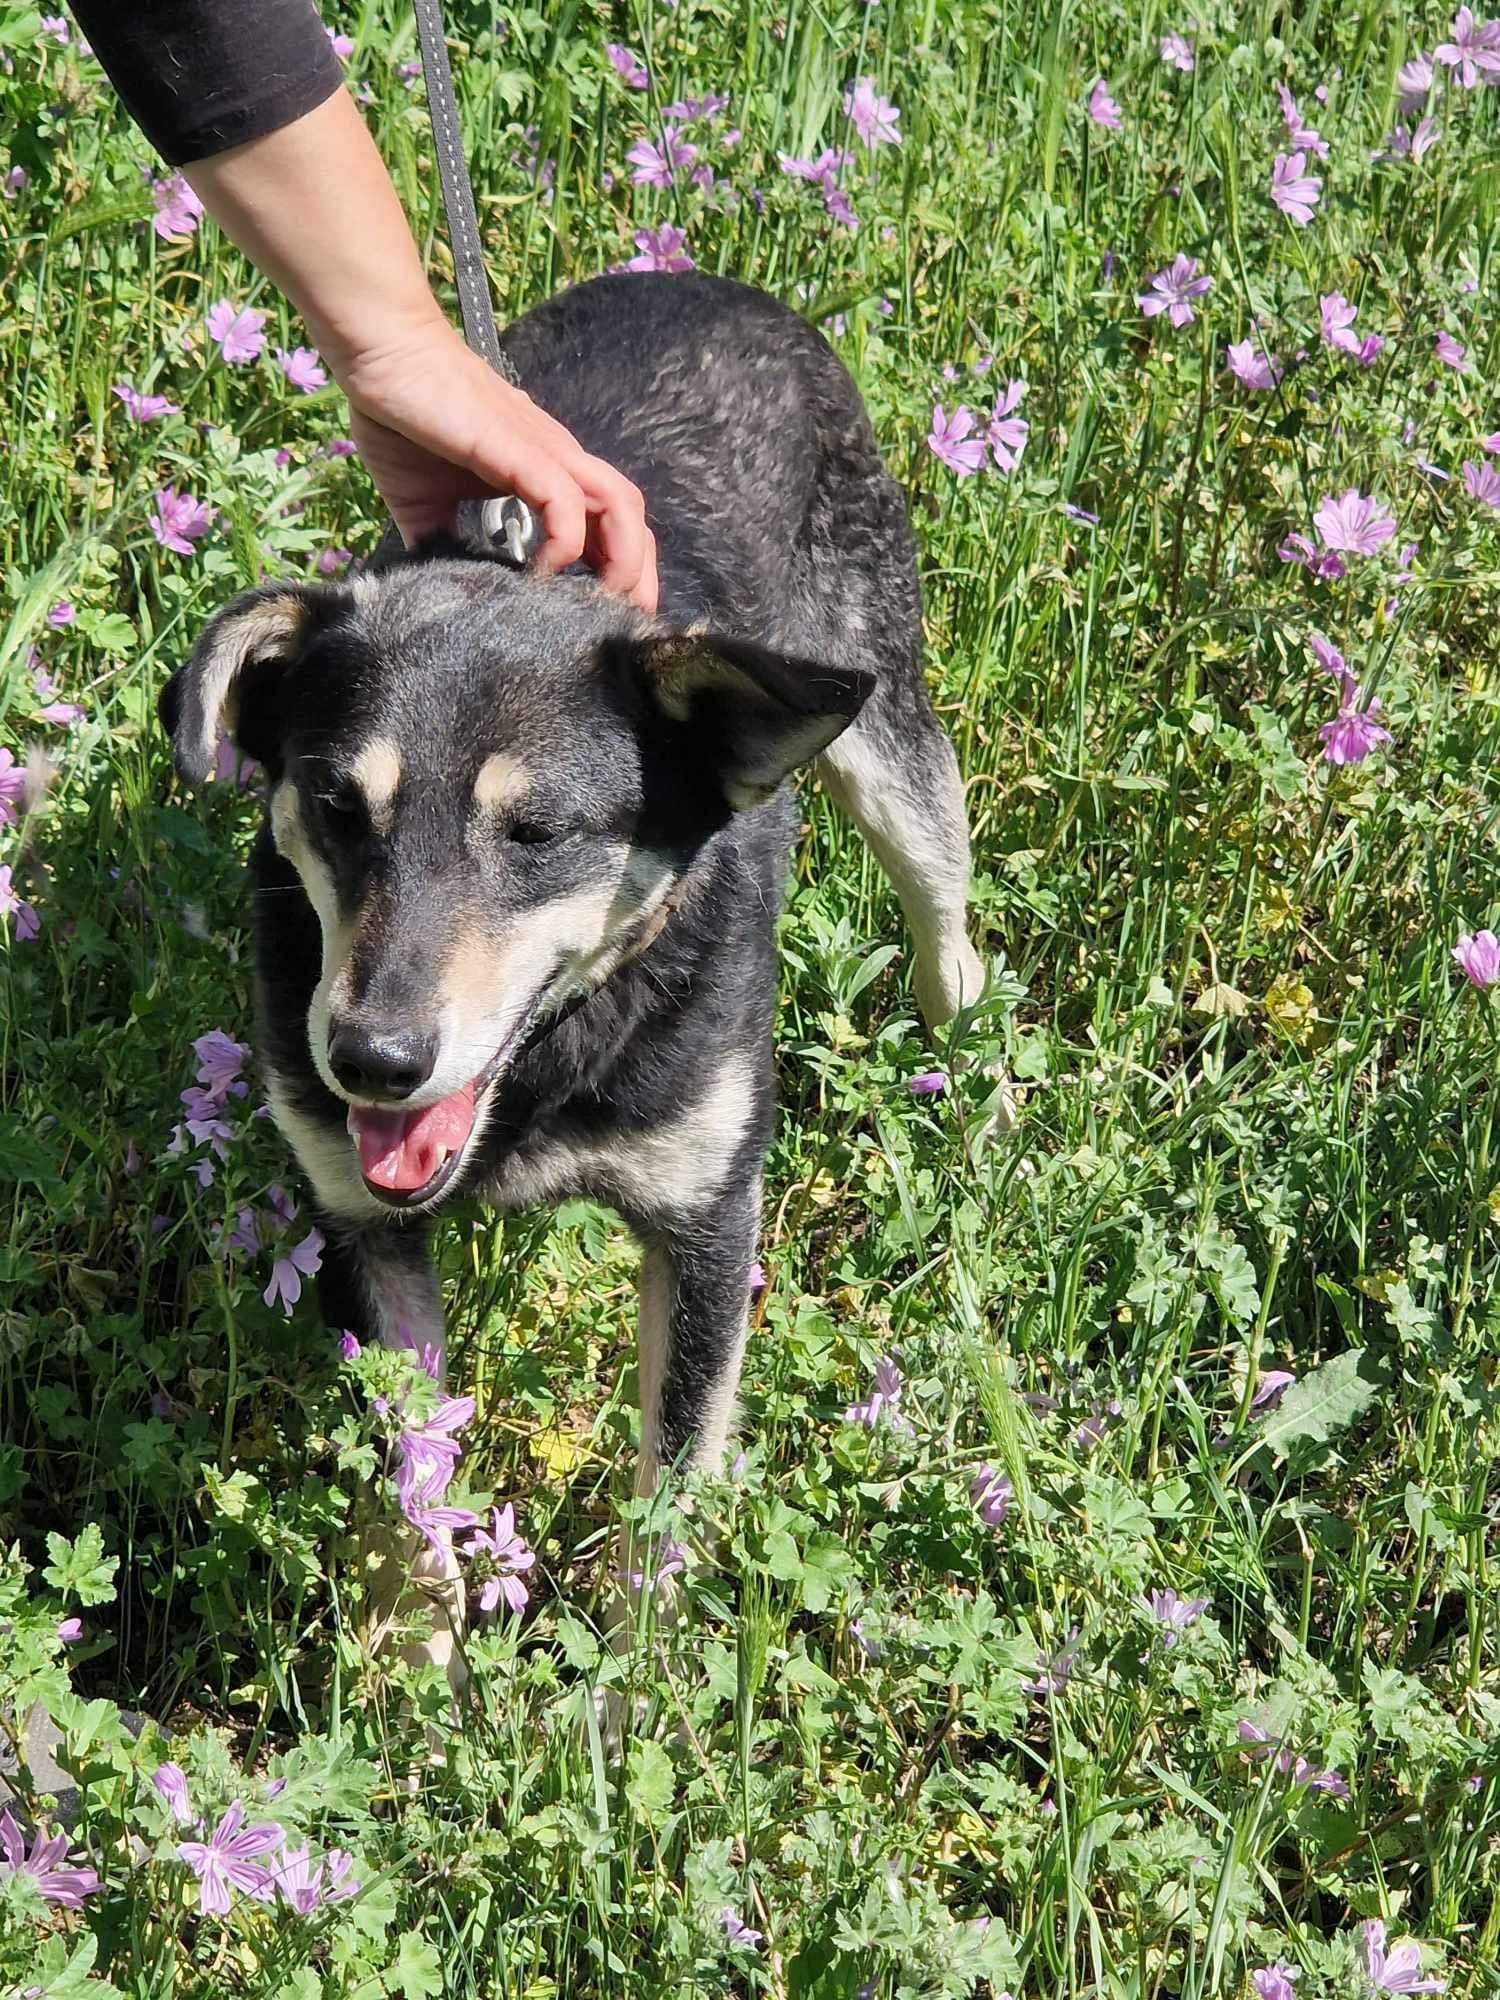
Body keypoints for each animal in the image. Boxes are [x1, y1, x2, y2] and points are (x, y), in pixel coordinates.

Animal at [162, 274, 988, 1520]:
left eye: (538, 832)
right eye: (337, 805)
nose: (370, 1060)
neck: (552, 1061)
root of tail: (695, 278)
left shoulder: (707, 1221)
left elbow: (670, 1491)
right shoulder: (361, 1223)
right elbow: (420, 1495)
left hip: (889, 728)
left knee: (951, 941)